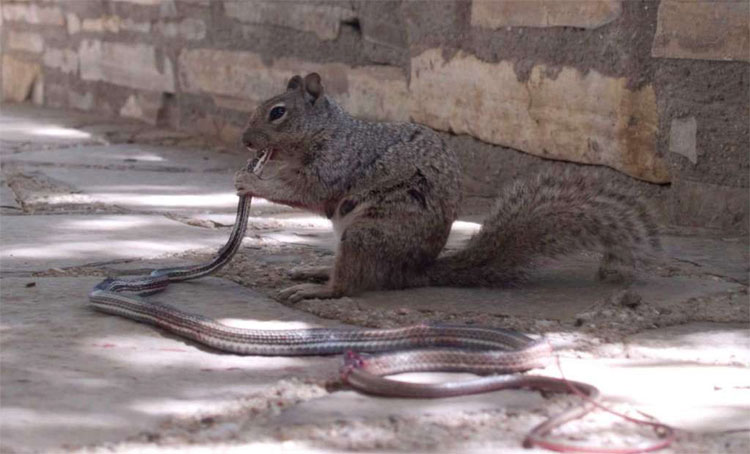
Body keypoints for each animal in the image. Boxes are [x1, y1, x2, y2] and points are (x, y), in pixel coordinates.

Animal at [234, 73, 660, 303]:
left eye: (278, 112)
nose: (245, 141)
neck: (328, 130)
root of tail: (416, 271)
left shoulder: (337, 162)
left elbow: (305, 190)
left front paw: (250, 180)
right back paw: (315, 270)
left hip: (368, 233)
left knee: (353, 282)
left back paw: (321, 289)